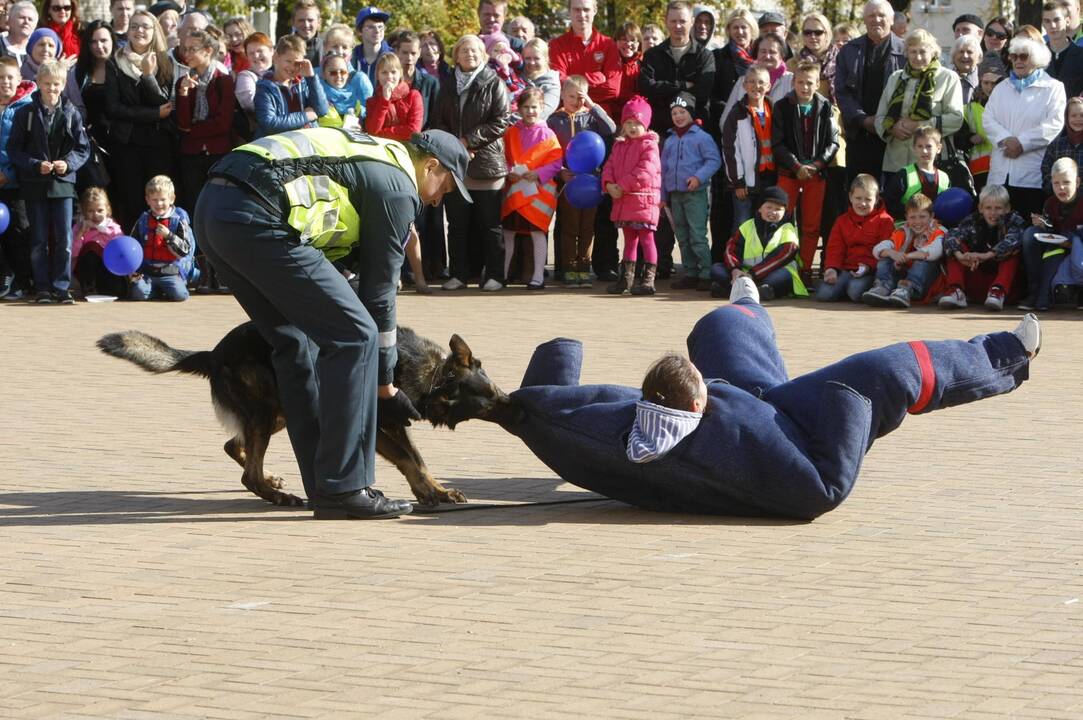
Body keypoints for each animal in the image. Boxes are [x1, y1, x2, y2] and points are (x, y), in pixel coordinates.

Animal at [99, 320, 504, 504]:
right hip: (268, 412)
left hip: (281, 412)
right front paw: (431, 492)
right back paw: (275, 495)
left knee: (234, 446)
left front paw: (432, 490)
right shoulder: (378, 430)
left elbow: (416, 459)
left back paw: (270, 481)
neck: (434, 375)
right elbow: (409, 459)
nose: (511, 402)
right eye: (489, 401)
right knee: (248, 472)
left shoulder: (394, 423)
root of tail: (213, 353)